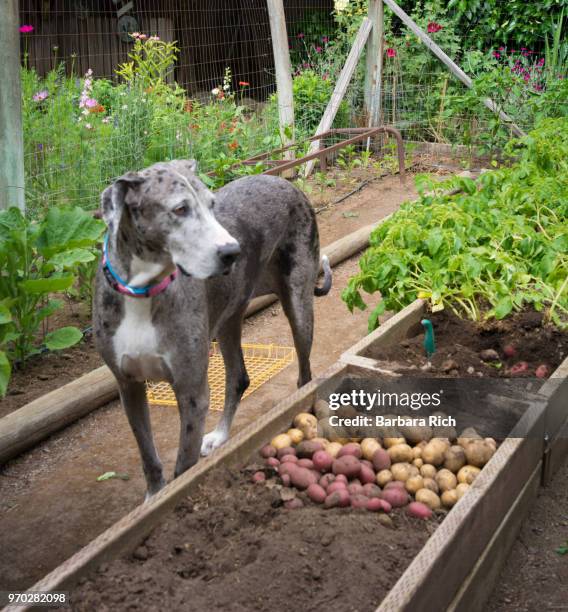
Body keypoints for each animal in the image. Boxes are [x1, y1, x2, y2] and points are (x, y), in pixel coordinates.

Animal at [93, 160, 332, 500]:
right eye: (180, 209)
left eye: (211, 204)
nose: (233, 251)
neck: (142, 292)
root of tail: (288, 183)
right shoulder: (128, 386)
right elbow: (148, 455)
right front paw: (154, 497)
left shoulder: (192, 392)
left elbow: (184, 466)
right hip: (229, 321)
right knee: (239, 378)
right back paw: (219, 436)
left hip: (298, 306)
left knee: (304, 372)